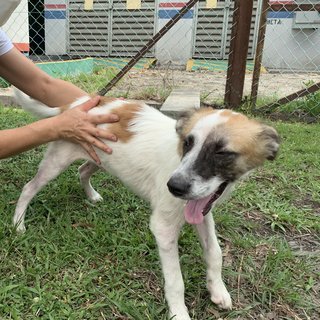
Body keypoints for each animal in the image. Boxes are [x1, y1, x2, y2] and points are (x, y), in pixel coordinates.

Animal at [12, 90, 278, 320]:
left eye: (222, 153)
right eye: (187, 143)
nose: (174, 187)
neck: (178, 158)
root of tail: (74, 105)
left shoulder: (202, 211)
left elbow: (215, 252)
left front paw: (218, 290)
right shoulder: (163, 227)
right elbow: (175, 280)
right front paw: (179, 313)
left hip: (99, 157)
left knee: (82, 171)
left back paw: (92, 196)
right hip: (57, 161)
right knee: (28, 188)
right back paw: (18, 224)